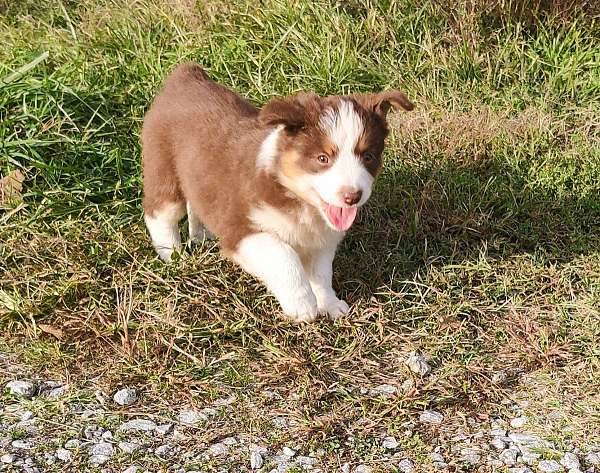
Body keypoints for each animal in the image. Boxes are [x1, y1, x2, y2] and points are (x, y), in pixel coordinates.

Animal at [142, 62, 412, 320]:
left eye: (368, 157)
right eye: (323, 158)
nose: (352, 196)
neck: (299, 200)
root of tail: (187, 75)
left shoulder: (323, 240)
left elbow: (321, 273)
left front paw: (330, 304)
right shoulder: (242, 229)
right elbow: (283, 256)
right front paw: (302, 305)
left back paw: (202, 234)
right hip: (163, 167)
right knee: (159, 214)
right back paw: (173, 255)